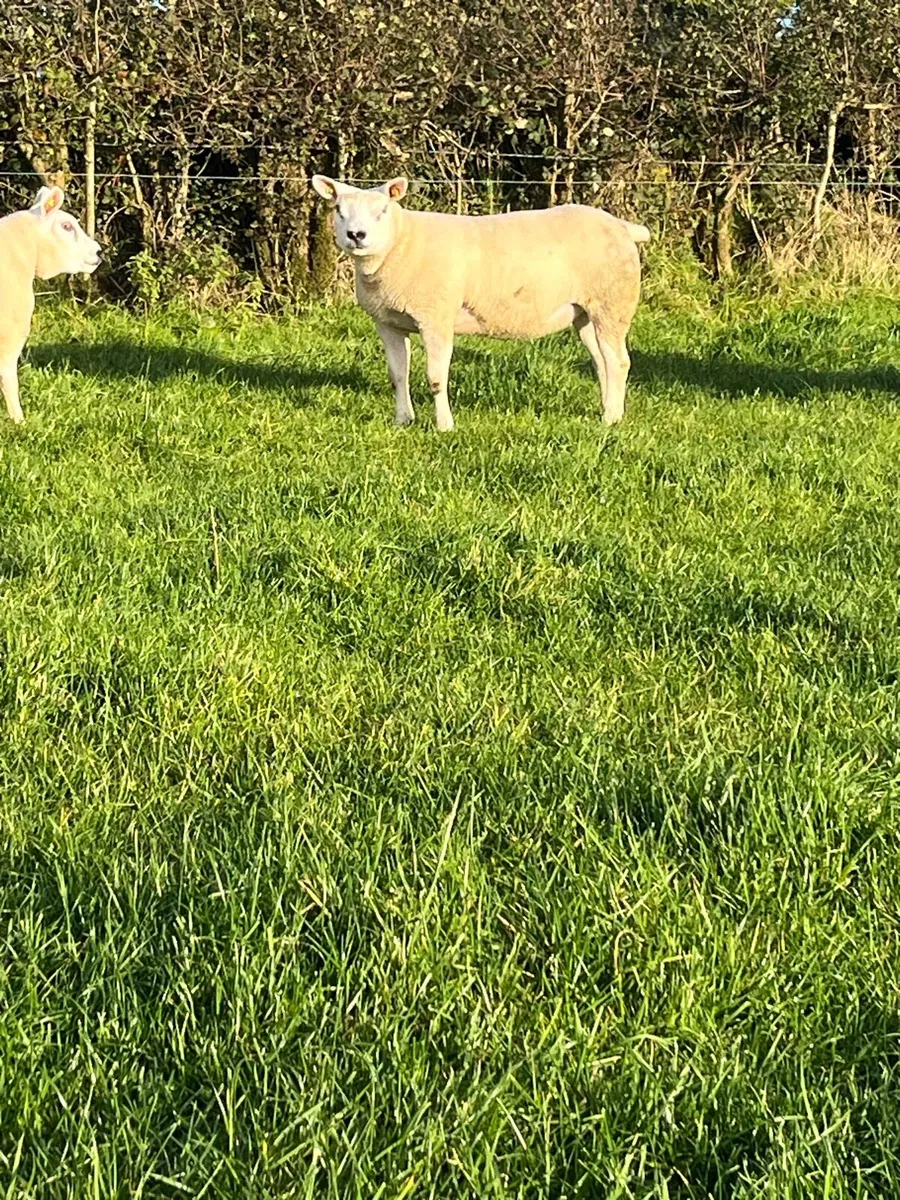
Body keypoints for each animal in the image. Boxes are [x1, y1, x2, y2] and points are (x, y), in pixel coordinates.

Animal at [311, 175, 649, 432]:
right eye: (338, 209)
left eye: (382, 210)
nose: (356, 235)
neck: (402, 243)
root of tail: (622, 226)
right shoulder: (388, 322)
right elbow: (398, 375)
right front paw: (403, 421)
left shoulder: (436, 317)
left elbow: (436, 378)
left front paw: (444, 426)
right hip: (586, 312)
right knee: (602, 362)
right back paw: (609, 407)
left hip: (613, 302)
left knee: (619, 362)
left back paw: (611, 418)